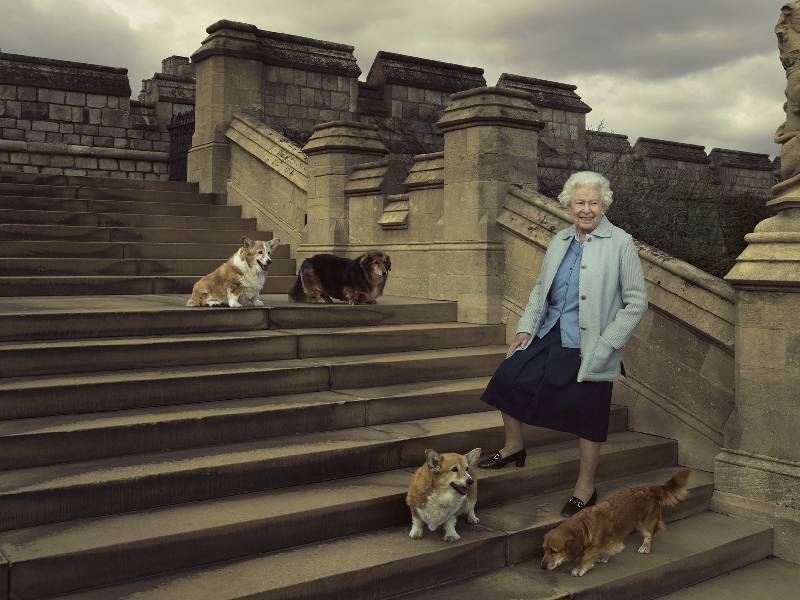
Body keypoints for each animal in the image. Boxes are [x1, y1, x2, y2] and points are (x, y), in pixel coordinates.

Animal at [540, 468, 692, 576]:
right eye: (544, 550)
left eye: (554, 551)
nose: (541, 567)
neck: (584, 525)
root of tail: (649, 488)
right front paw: (603, 556)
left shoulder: (594, 545)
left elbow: (586, 556)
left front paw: (579, 568)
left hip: (646, 523)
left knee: (649, 536)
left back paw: (645, 547)